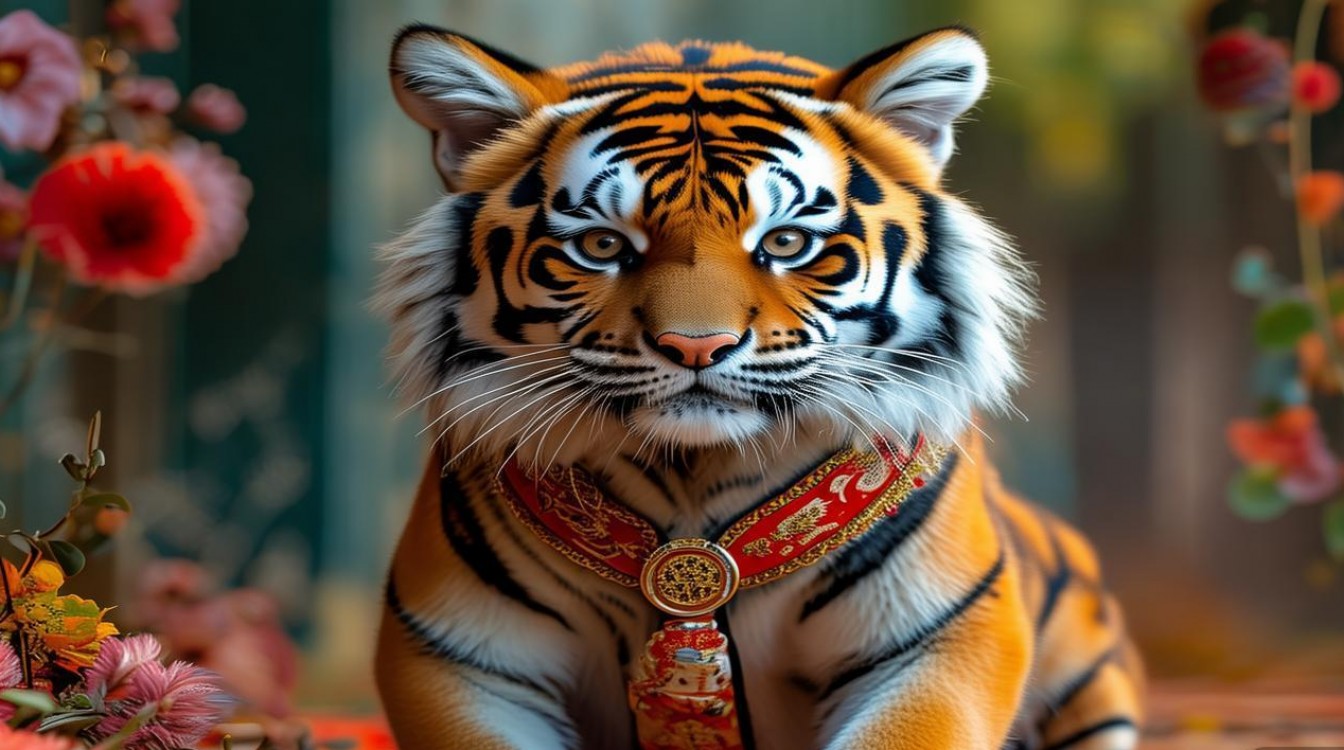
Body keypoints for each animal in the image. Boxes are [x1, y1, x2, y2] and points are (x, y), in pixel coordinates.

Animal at [373, 22, 1144, 750]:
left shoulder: (938, 644)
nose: (696, 346)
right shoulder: (459, 661)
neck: (692, 477)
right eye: (602, 246)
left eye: (784, 242)